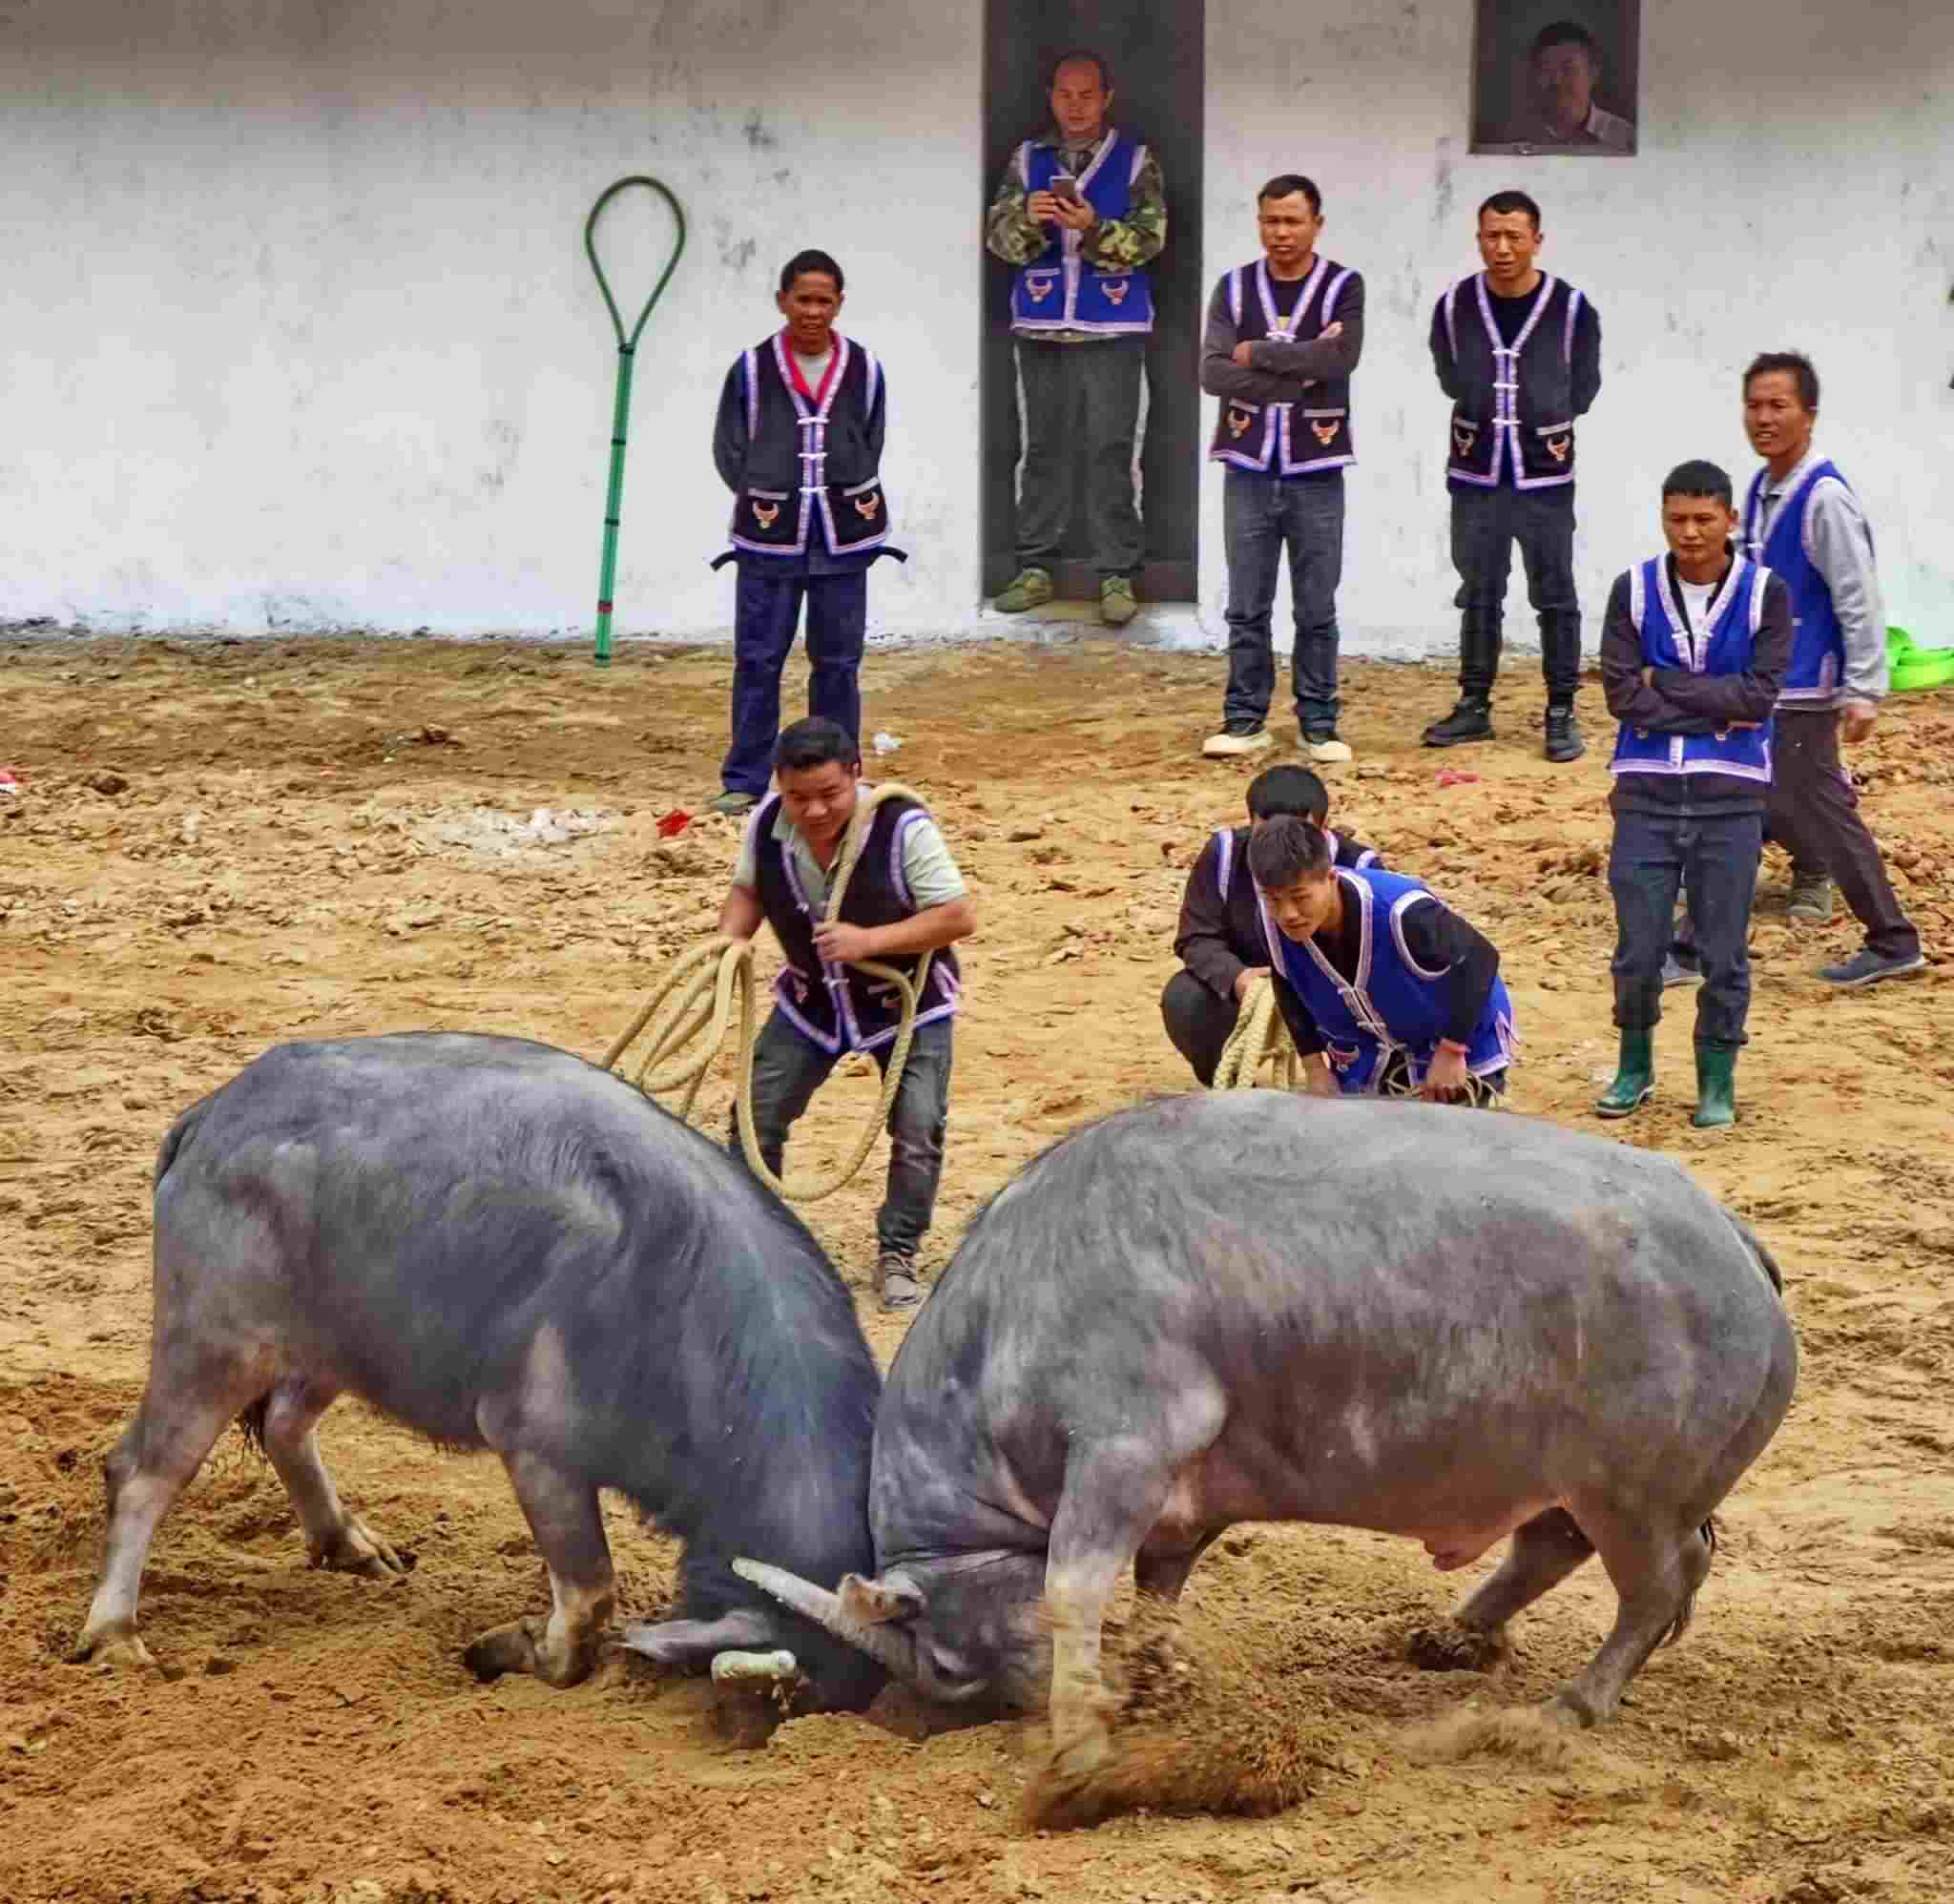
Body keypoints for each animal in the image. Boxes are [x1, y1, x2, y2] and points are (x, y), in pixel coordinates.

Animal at [71, 1032, 885, 1713]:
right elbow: (590, 1596)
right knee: (143, 1470)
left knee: (284, 1427)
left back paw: (348, 1543)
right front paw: (509, 1650)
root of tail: (212, 1115)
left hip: (338, 1341)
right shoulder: (539, 1453)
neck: (678, 1304)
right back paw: (114, 1635)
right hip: (216, 1343)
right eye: (777, 1695)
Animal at [737, 1092, 1798, 1773]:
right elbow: (1158, 1593)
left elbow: (1073, 1590)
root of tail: (1735, 1241)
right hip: (1575, 1484)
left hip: (1632, 1496)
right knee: (1556, 1549)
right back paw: (1455, 1634)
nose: (1014, 1706)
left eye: (949, 1667)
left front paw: (1079, 1732)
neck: (1010, 1308)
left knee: (1656, 1585)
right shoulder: (1176, 1509)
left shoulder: (1122, 1458)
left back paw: (1577, 1699)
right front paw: (1155, 1679)